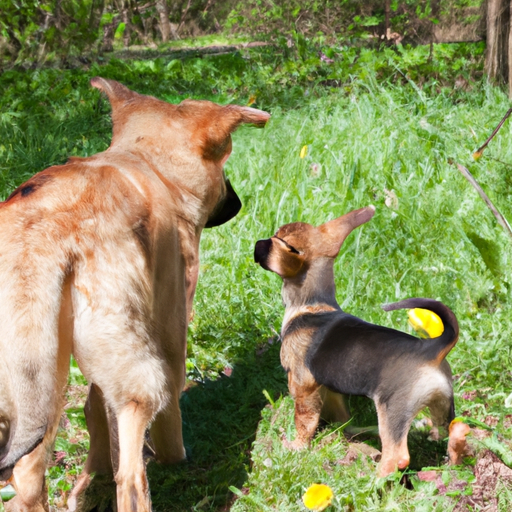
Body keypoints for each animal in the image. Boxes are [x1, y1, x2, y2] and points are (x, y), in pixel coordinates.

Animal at [0, 77, 272, 512]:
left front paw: (91, 478)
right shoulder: (172, 326)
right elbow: (168, 419)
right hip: (136, 381)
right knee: (129, 476)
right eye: (224, 162)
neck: (147, 163)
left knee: (27, 478)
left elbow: (94, 410)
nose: (237, 203)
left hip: (37, 392)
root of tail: (46, 228)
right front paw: (176, 459)